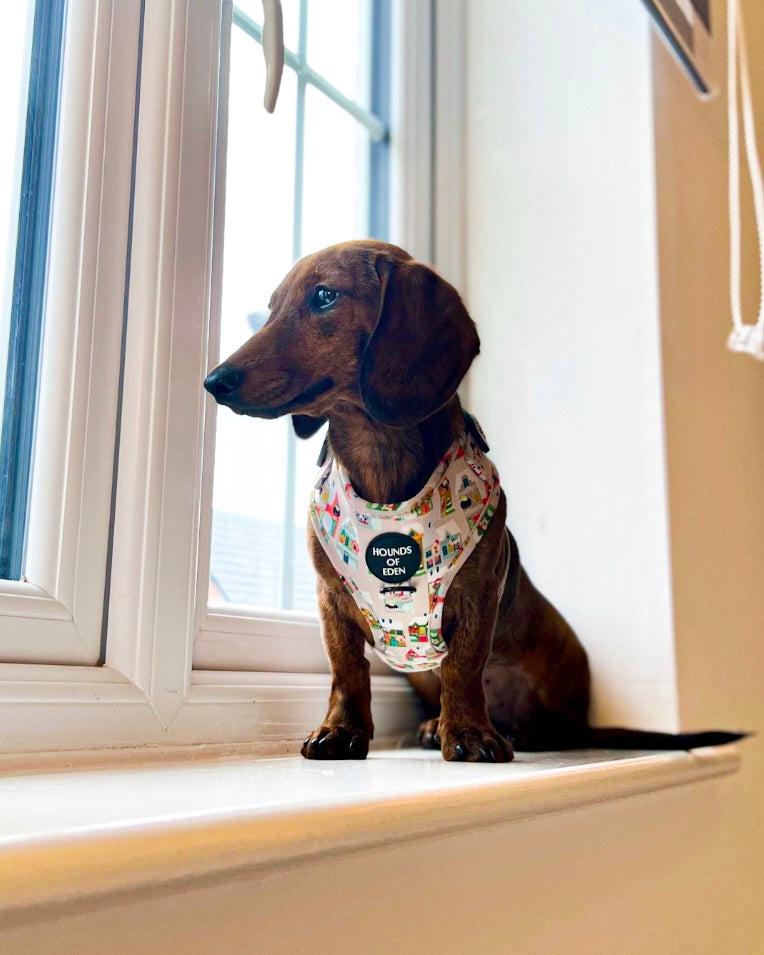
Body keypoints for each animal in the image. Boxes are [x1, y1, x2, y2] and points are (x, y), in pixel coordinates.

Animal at [206, 243, 744, 764]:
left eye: (324, 296)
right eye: (272, 308)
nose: (215, 381)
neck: (380, 464)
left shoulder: (478, 593)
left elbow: (463, 667)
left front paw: (467, 733)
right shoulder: (330, 599)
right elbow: (347, 672)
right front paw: (341, 732)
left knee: (560, 726)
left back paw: (523, 730)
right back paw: (434, 726)